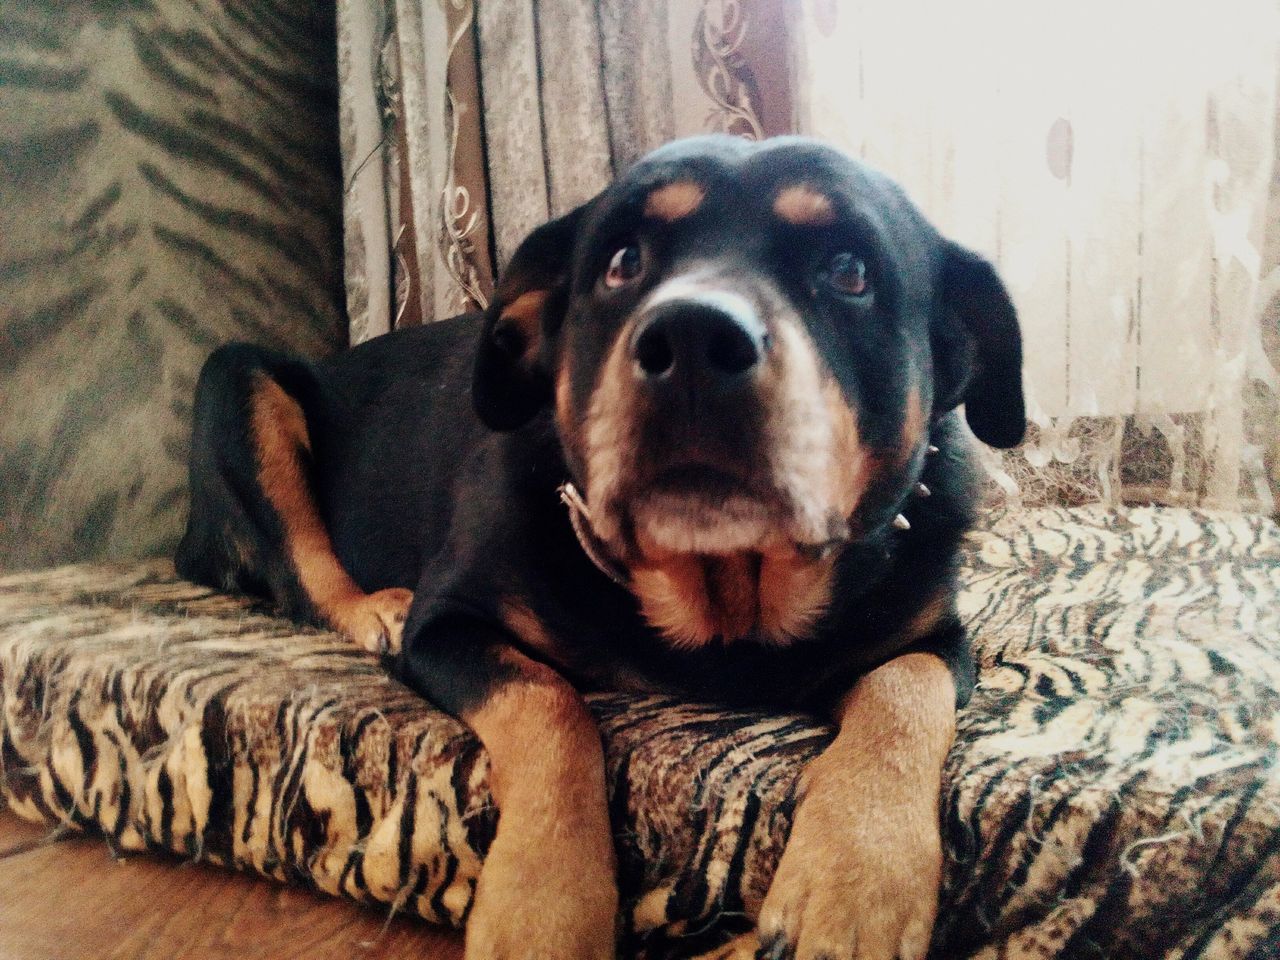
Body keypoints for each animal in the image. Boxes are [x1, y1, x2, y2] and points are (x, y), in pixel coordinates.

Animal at [175, 135, 1024, 960]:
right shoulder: (449, 622)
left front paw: (856, 878)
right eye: (622, 262)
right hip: (238, 378)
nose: (692, 337)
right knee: (300, 568)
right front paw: (540, 908)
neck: (722, 594)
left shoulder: (935, 637)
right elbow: (551, 707)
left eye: (849, 271)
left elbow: (904, 691)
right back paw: (369, 608)